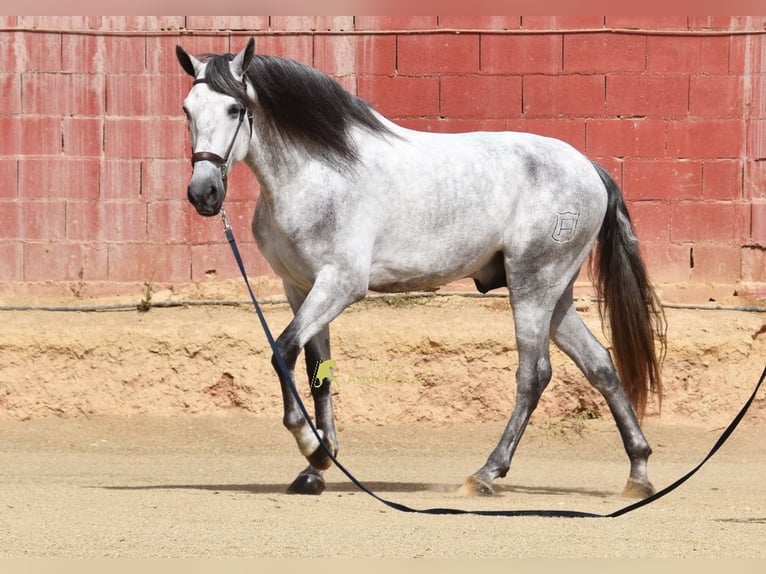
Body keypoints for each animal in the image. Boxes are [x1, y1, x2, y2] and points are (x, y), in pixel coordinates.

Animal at [175, 38, 667, 498]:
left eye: (235, 108)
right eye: (187, 110)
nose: (203, 193)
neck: (318, 172)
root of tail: (589, 168)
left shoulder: (340, 284)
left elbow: (282, 351)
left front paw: (312, 448)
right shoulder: (300, 287)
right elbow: (318, 374)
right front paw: (317, 467)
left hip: (533, 286)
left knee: (534, 374)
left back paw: (486, 474)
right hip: (555, 294)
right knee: (599, 364)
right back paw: (638, 473)